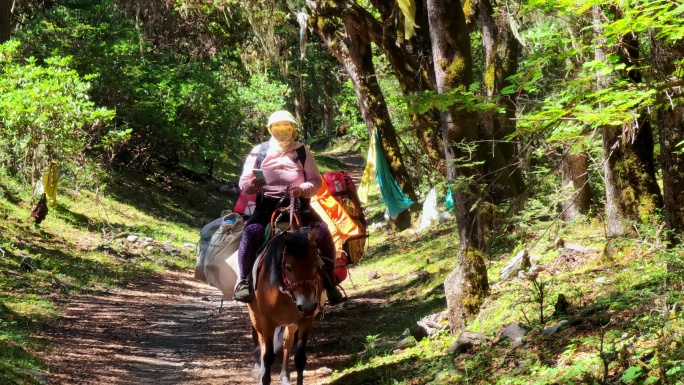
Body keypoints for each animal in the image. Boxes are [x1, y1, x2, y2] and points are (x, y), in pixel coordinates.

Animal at [248, 228, 326, 384]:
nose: (308, 306)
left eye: (315, 265)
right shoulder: (268, 322)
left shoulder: (305, 321)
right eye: (288, 268)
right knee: (262, 344)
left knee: (286, 343)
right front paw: (264, 379)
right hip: (256, 318)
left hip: (291, 324)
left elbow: (300, 358)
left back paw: (284, 376)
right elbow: (268, 356)